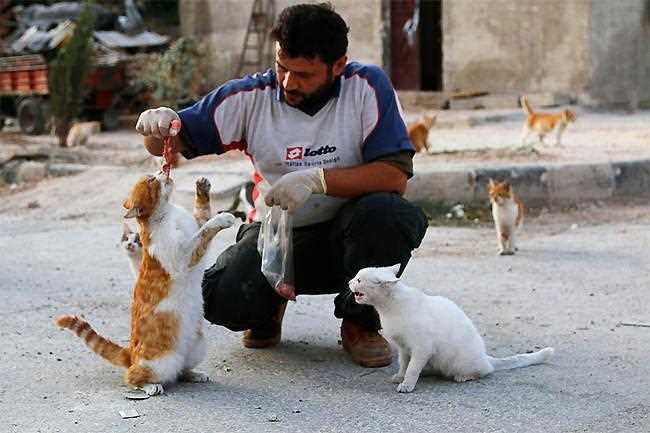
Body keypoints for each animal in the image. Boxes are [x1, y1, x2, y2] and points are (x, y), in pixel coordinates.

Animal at [55, 172, 233, 394]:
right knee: (133, 377)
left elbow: (203, 215)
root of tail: (130, 353)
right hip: (162, 362)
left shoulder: (195, 226)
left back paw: (194, 374)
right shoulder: (184, 255)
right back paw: (150, 386)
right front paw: (223, 218)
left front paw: (202, 188)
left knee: (181, 371)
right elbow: (205, 230)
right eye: (151, 180)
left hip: (197, 347)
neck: (167, 213)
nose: (162, 171)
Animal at [350, 264, 552, 394]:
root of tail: (485, 355)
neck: (389, 309)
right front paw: (400, 377)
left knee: (485, 371)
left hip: (459, 362)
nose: (349, 282)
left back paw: (464, 377)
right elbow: (405, 364)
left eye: (359, 280)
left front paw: (407, 384)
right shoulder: (404, 348)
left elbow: (412, 368)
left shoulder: (422, 347)